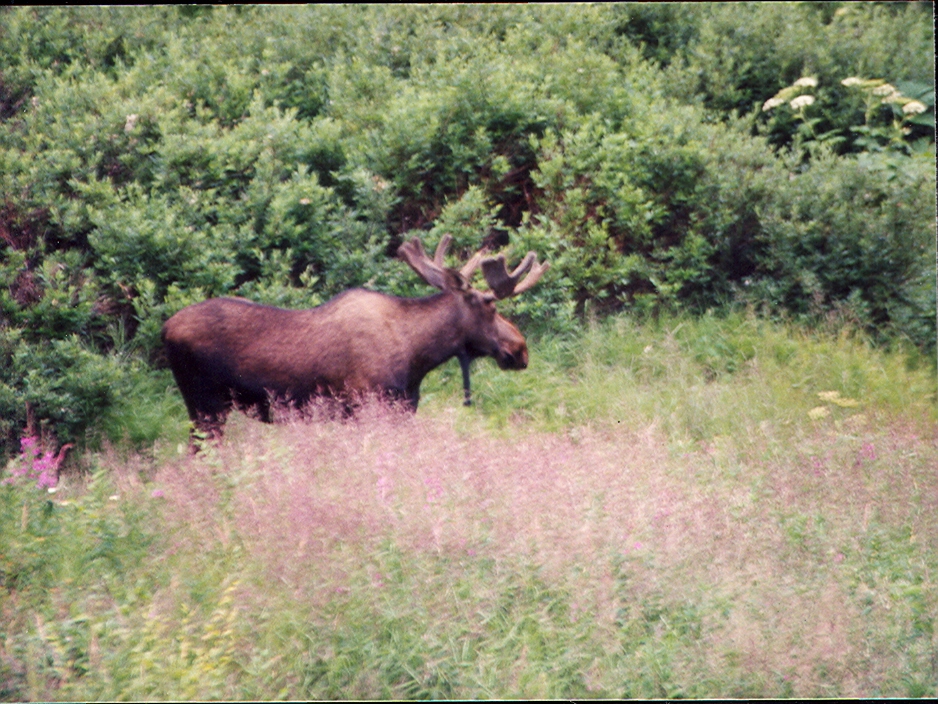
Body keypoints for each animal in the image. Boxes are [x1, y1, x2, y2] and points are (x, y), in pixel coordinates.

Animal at [158, 236, 544, 442]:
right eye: (490, 306)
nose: (520, 349)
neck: (417, 355)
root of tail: (164, 329)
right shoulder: (365, 407)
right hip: (205, 406)